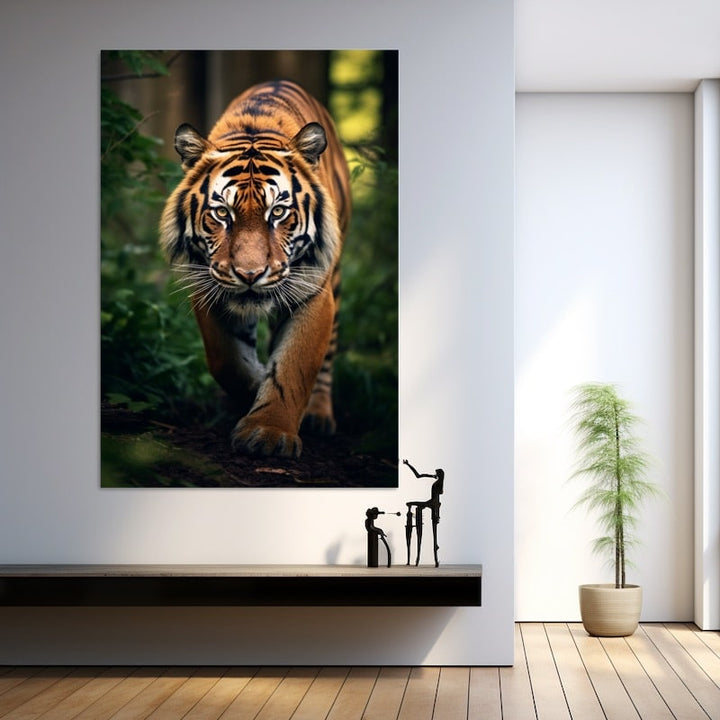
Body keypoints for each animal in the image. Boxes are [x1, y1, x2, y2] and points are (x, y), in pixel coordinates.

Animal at [159, 80, 351, 458]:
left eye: (277, 212)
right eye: (222, 213)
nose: (249, 274)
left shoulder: (313, 291)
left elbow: (295, 366)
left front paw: (269, 433)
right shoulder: (207, 287)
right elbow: (226, 360)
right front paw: (256, 388)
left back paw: (319, 415)